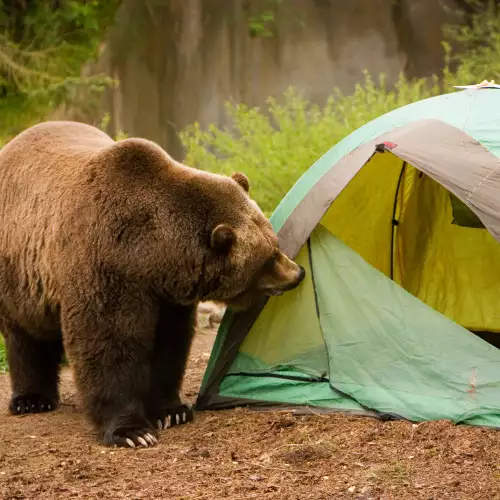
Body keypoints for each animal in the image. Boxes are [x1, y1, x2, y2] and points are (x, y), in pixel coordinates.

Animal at [0, 122, 304, 450]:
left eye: (274, 242)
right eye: (270, 256)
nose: (298, 272)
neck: (151, 253)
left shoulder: (166, 295)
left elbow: (169, 344)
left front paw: (172, 411)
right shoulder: (105, 266)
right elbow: (110, 343)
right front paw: (132, 430)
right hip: (19, 270)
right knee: (24, 335)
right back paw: (31, 399)